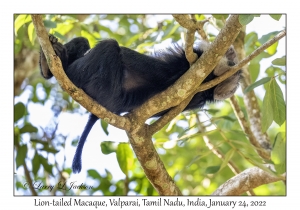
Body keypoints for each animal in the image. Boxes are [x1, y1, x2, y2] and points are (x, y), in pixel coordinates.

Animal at [39, 34, 241, 172]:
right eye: (230, 55)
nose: (232, 55)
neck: (209, 83)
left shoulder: (193, 62)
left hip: (100, 84)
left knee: (109, 46)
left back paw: (57, 64)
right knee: (86, 42)